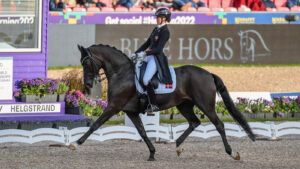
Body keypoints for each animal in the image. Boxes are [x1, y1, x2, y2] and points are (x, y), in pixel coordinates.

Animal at [69, 44, 255, 161]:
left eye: (87, 62)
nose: (87, 85)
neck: (121, 73)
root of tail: (208, 73)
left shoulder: (114, 107)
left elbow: (95, 125)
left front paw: (75, 144)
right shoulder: (131, 111)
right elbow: (142, 132)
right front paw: (152, 153)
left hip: (205, 105)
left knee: (219, 125)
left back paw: (232, 153)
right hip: (184, 105)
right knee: (194, 122)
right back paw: (178, 146)